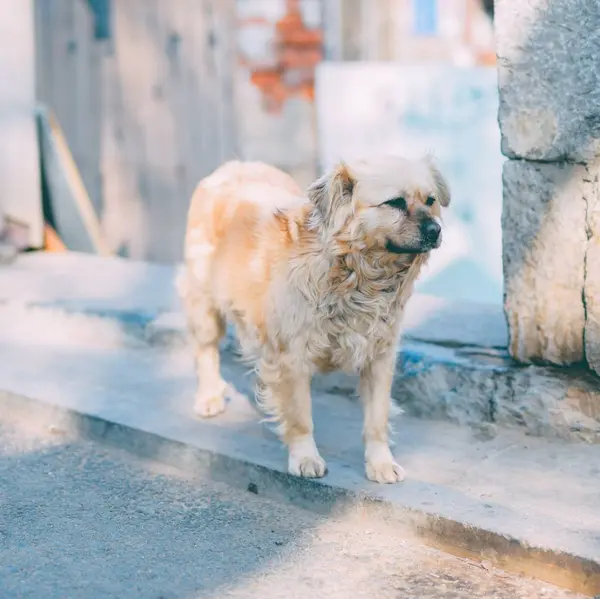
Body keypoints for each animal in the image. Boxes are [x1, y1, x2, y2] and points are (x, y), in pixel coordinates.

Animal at [178, 157, 450, 486]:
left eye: (430, 200)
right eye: (395, 203)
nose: (436, 230)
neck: (355, 275)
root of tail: (233, 166)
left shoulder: (379, 358)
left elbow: (377, 419)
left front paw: (380, 462)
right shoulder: (290, 359)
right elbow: (299, 417)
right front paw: (305, 457)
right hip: (204, 305)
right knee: (206, 349)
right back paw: (209, 396)